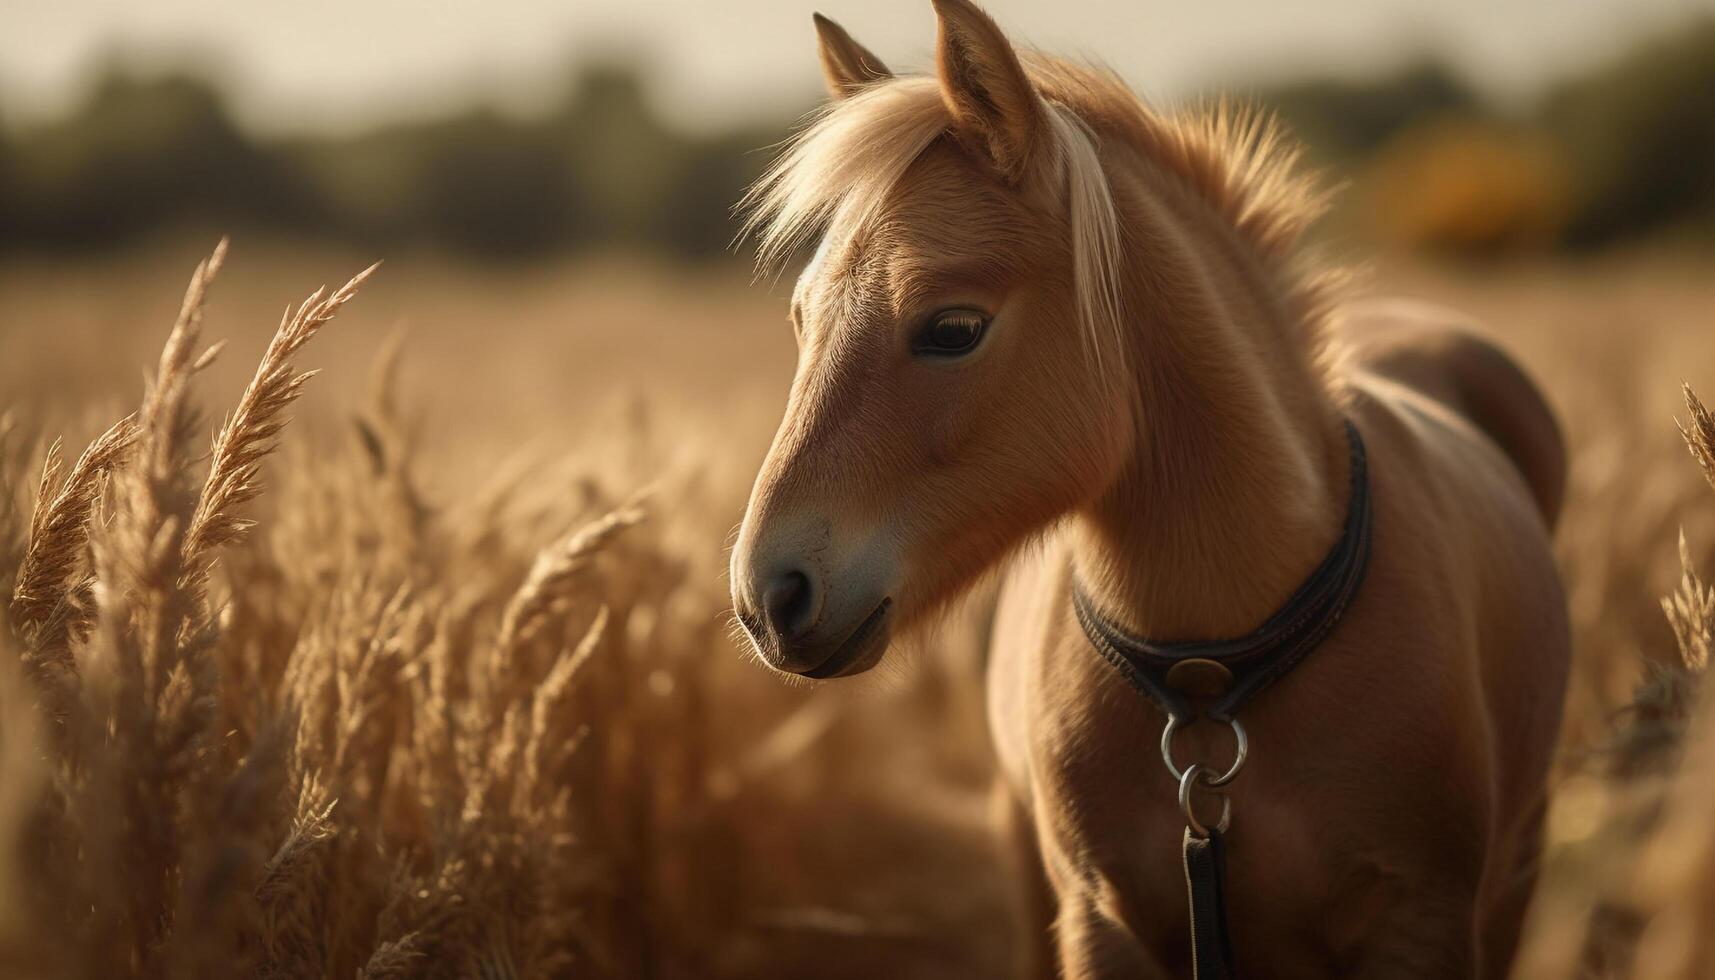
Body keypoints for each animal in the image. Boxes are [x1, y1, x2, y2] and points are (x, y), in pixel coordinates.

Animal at [723, 3, 1570, 974]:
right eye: (801, 318)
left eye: (953, 328)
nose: (767, 598)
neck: (1212, 680)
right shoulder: (1101, 921)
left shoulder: (1421, 918)